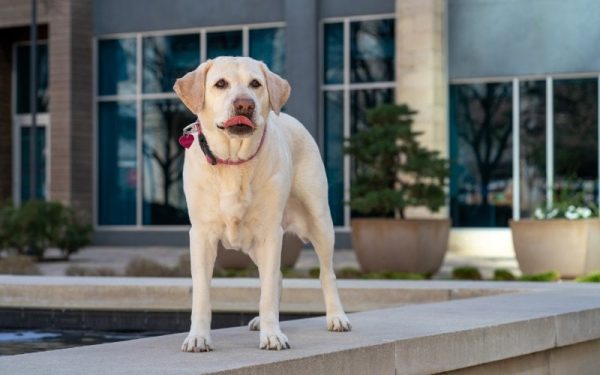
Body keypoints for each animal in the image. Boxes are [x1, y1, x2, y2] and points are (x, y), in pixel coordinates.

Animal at [173, 56, 352, 352]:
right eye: (220, 84)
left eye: (255, 84)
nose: (245, 104)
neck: (234, 162)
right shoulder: (201, 235)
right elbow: (201, 293)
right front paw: (198, 336)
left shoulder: (270, 233)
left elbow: (267, 291)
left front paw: (272, 335)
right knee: (277, 275)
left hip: (319, 220)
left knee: (326, 273)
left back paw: (337, 317)